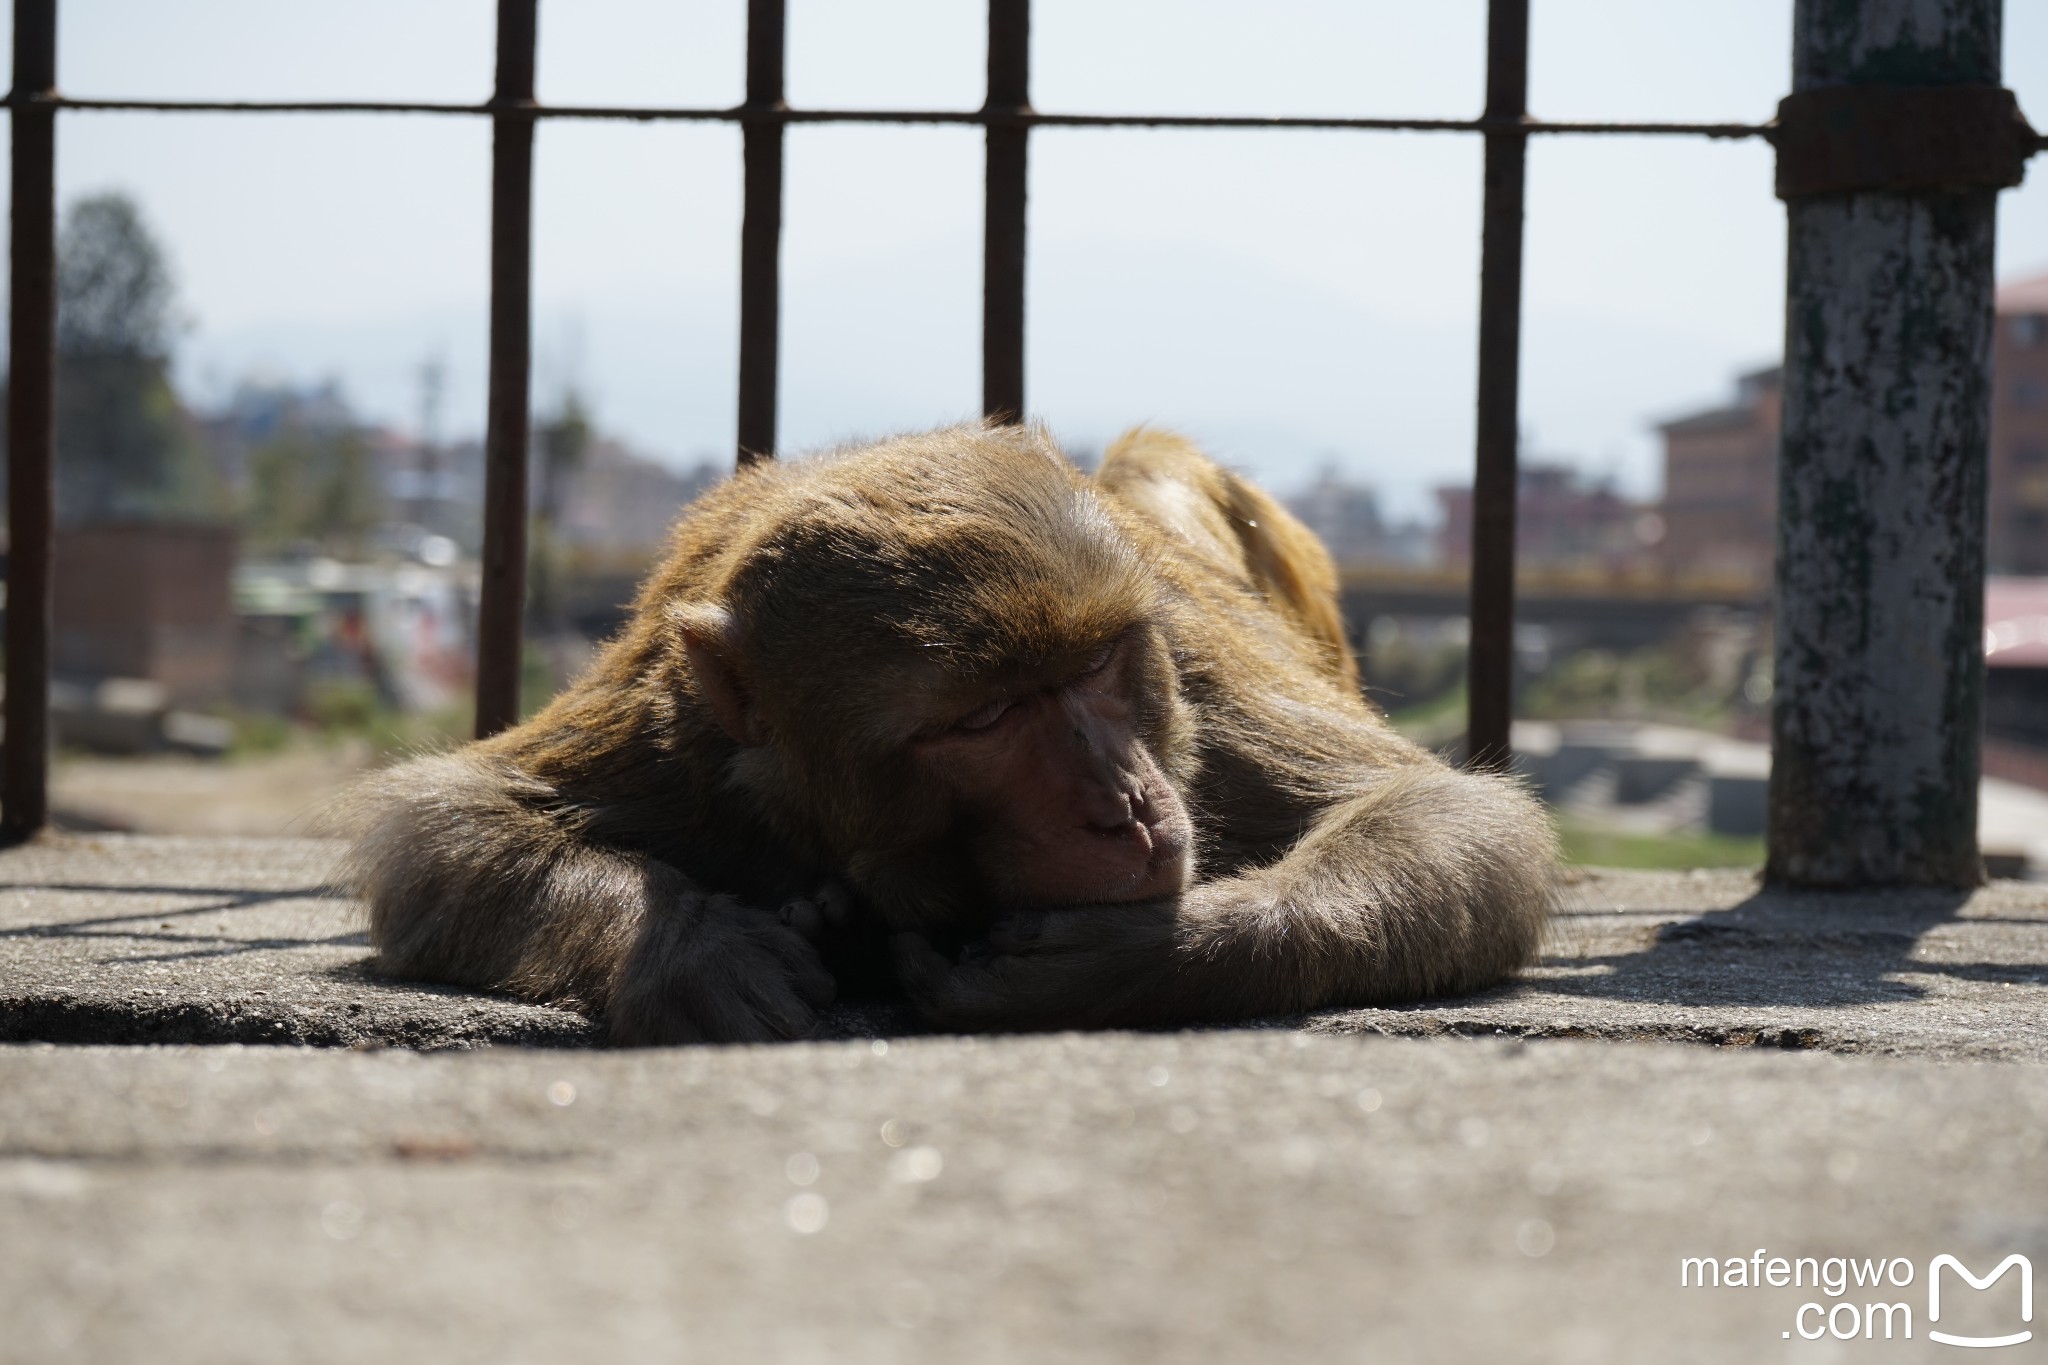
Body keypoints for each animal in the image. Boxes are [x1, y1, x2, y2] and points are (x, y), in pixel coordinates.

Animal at [348, 421, 1548, 1039]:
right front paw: (693, 949)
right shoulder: (675, 742)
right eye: (983, 716)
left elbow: (1451, 812)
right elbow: (442, 825)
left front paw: (1127, 964)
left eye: (1096, 666)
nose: (1123, 806)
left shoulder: (1192, 671)